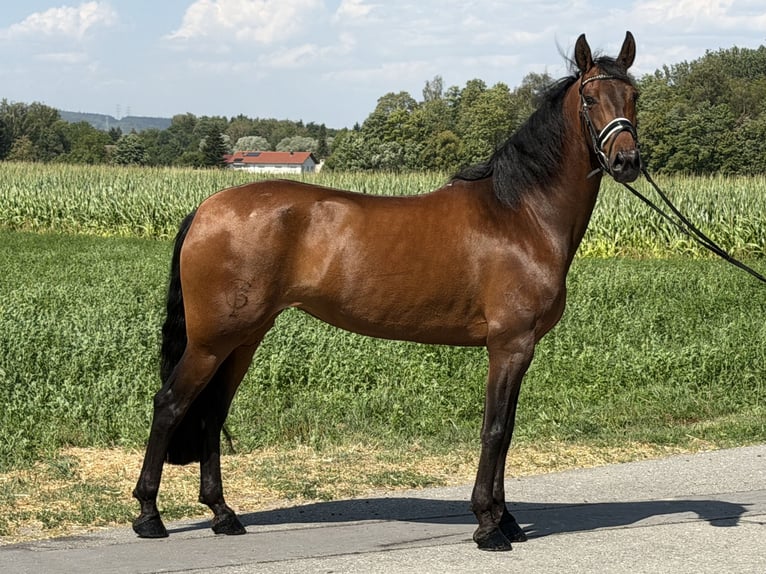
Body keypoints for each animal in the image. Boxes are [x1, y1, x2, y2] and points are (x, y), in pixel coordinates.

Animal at [133, 32, 641, 552]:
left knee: (212, 414)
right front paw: (488, 524)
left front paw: (507, 519)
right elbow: (496, 430)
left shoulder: (519, 349)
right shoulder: (509, 345)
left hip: (243, 341)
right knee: (170, 405)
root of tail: (207, 208)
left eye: (634, 97)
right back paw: (150, 515)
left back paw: (223, 513)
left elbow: (507, 430)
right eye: (589, 99)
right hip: (211, 342)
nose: (626, 162)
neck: (520, 214)